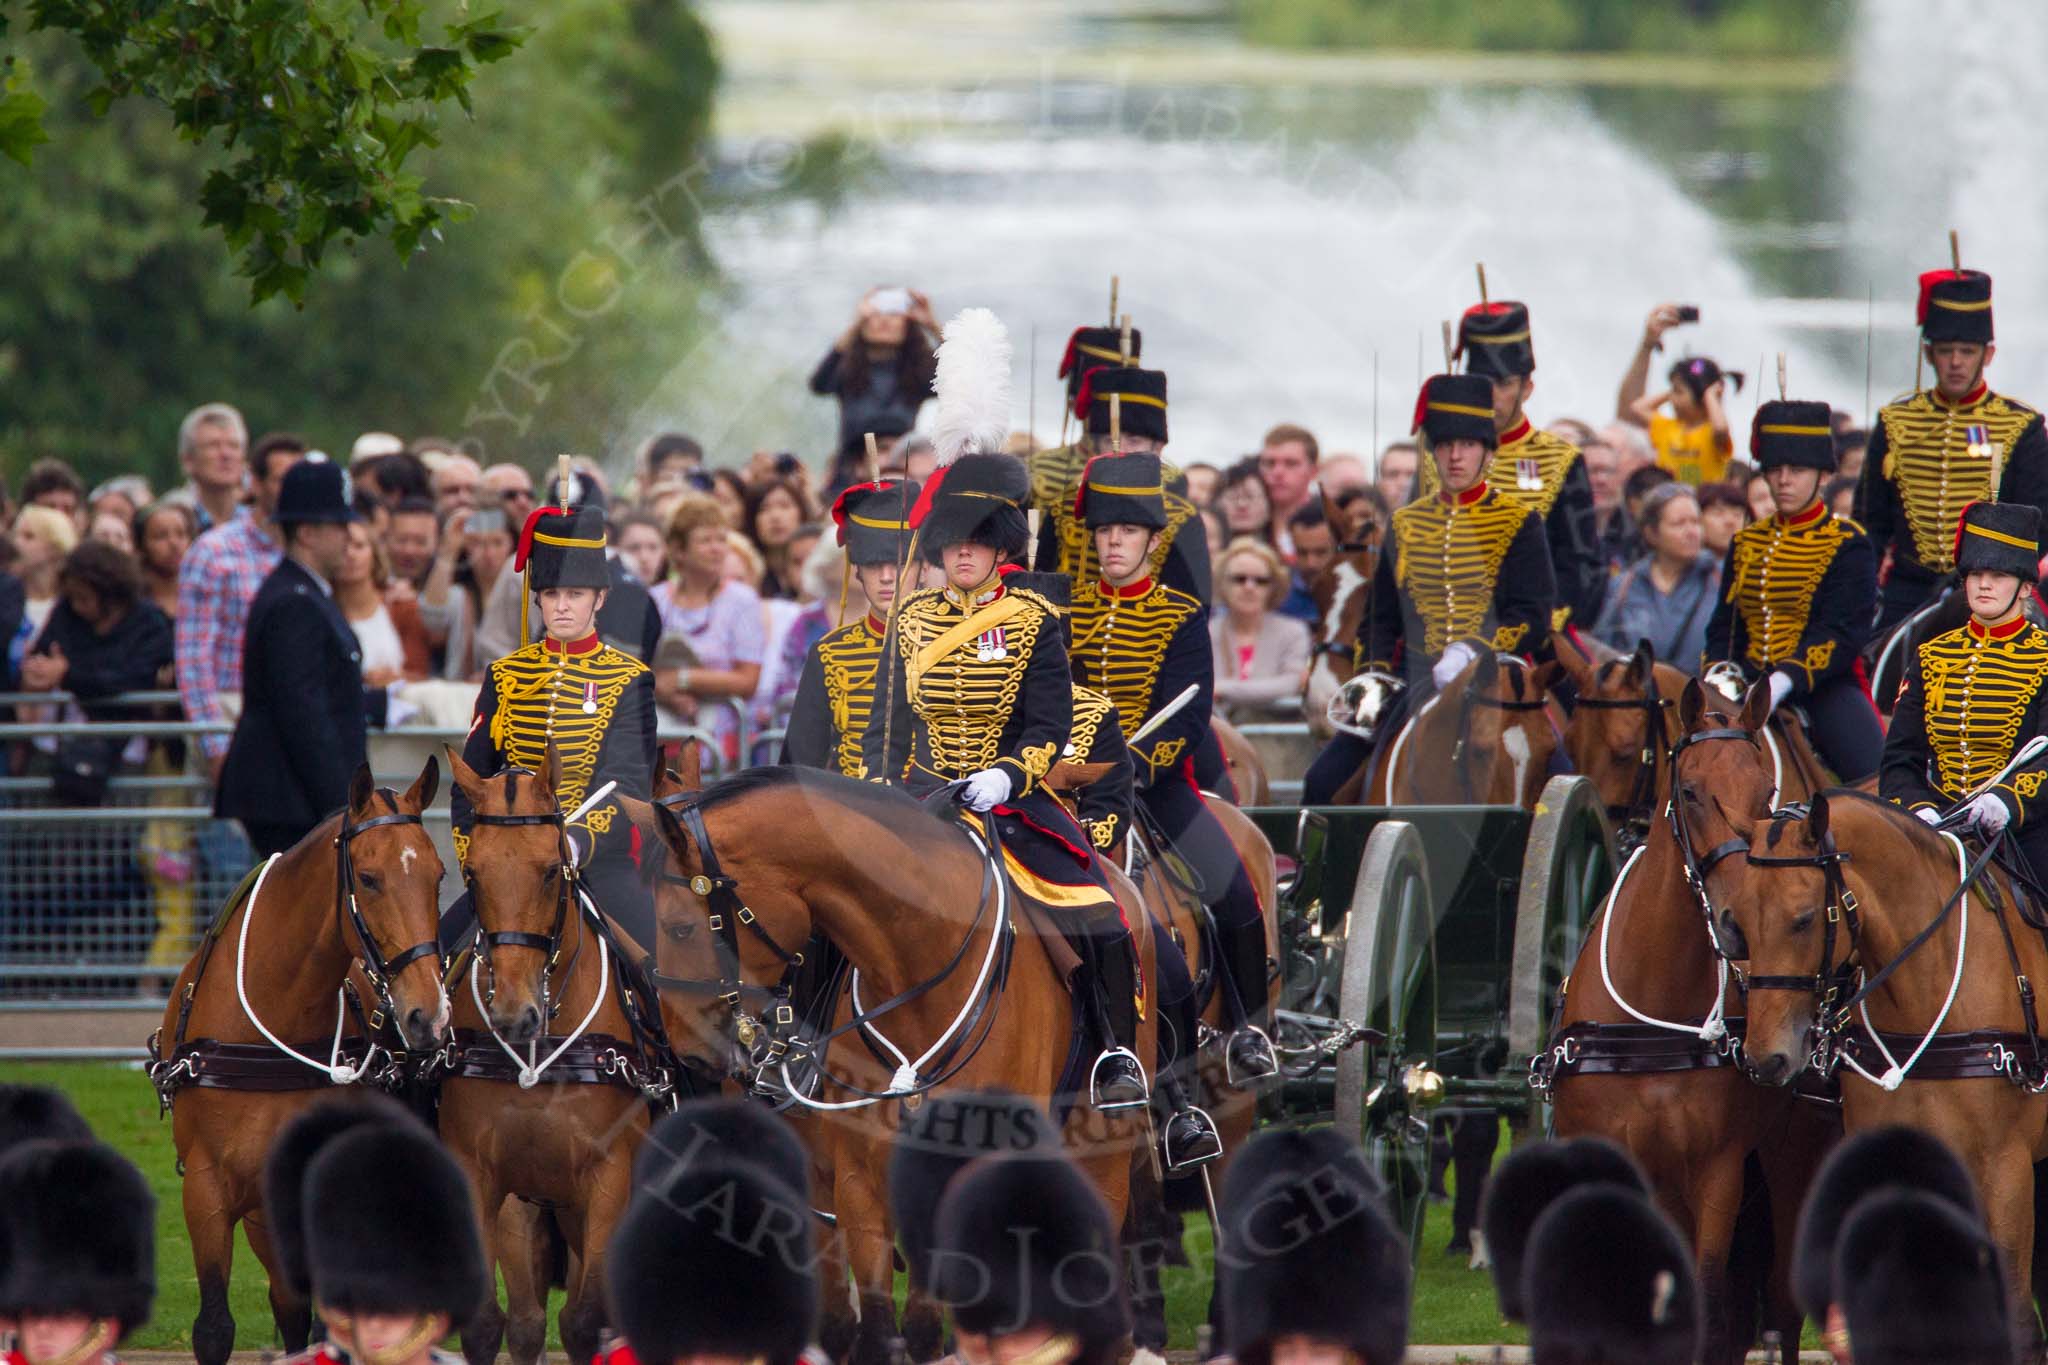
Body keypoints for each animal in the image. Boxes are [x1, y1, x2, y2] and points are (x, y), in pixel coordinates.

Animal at [436, 749, 684, 1365]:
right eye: (473, 875)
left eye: (551, 870)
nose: (513, 1013)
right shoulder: (484, 1177)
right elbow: (492, 1324)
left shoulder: (609, 1179)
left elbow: (586, 1319)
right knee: (528, 1321)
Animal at [647, 769, 1179, 1365]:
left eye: (680, 928)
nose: (689, 1050)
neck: (918, 966)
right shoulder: (857, 1178)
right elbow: (878, 1325)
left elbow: (925, 1326)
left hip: (1104, 1146)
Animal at [1548, 683, 1843, 1365]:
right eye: (1688, 791)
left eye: (1766, 791)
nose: (1741, 923)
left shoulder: (1717, 1173)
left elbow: (1708, 1307)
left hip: (1789, 1165)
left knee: (1777, 1309)